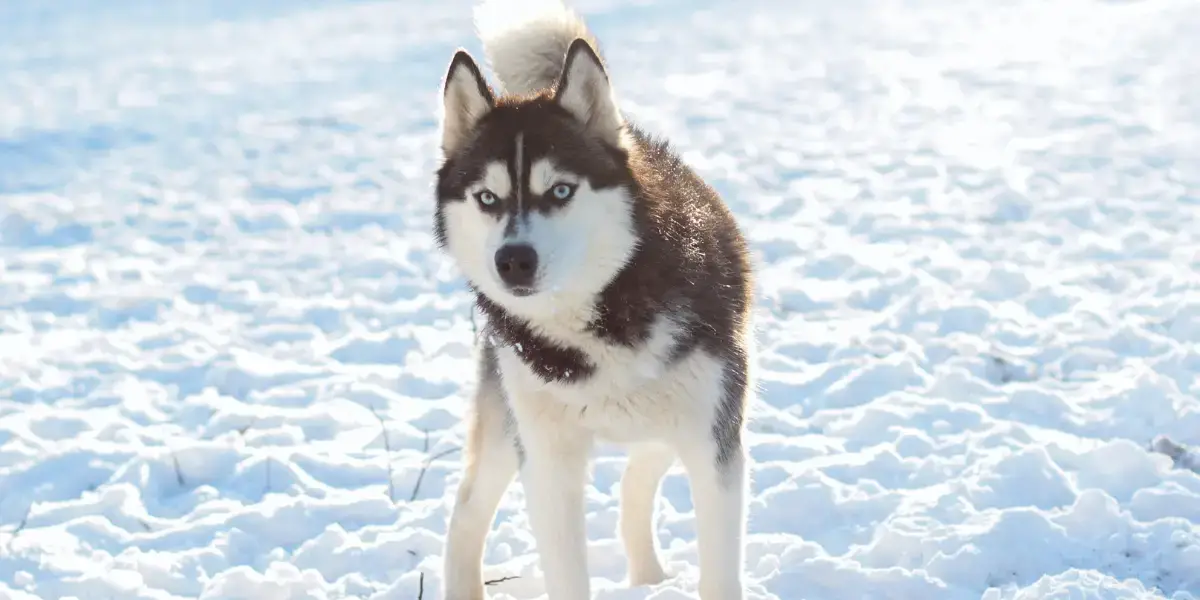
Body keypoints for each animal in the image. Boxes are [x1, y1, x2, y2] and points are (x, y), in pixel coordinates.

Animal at [432, 2, 753, 597]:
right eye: (486, 198)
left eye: (560, 190)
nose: (513, 260)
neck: (597, 321)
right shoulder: (547, 461)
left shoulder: (714, 442)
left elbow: (718, 572)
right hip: (508, 425)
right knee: (465, 515)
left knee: (637, 476)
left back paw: (648, 576)